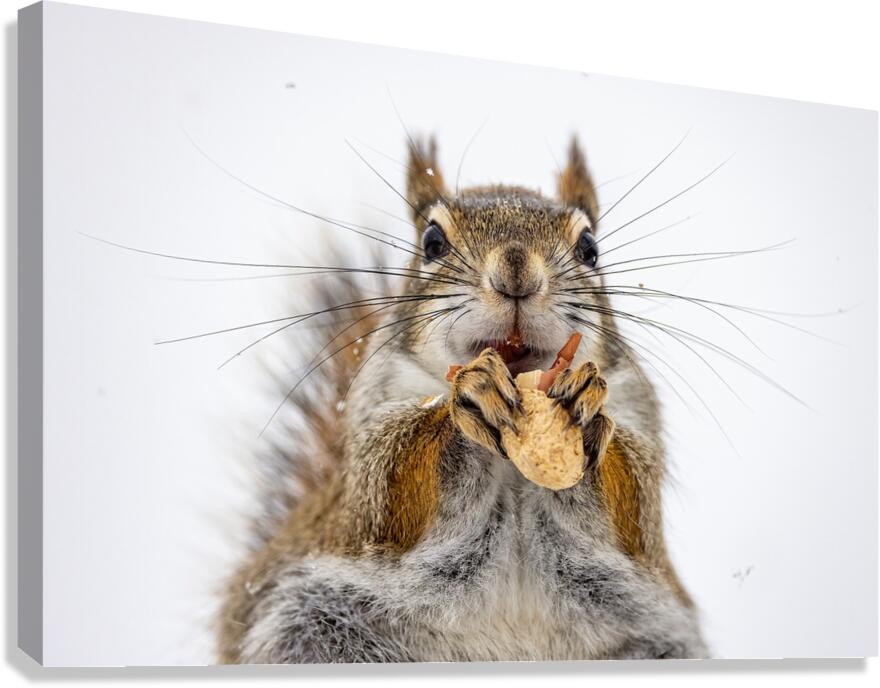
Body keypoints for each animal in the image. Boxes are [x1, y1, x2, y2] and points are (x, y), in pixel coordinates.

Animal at [217, 135, 708, 662]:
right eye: (432, 242)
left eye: (590, 248)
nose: (516, 272)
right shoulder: (369, 434)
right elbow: (387, 487)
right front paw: (467, 400)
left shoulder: (641, 413)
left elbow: (635, 504)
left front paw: (587, 409)